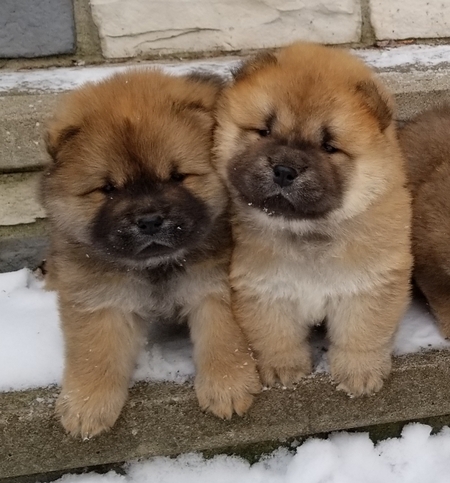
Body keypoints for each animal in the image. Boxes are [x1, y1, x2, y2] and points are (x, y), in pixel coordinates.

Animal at [43, 69, 260, 438]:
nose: (149, 221)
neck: (156, 267)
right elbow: (95, 352)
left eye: (177, 176)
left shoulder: (213, 287)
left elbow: (223, 338)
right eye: (108, 189)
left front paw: (228, 387)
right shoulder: (99, 298)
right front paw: (87, 407)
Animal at [213, 41, 414, 398]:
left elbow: (361, 333)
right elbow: (275, 333)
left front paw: (359, 376)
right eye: (264, 131)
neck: (307, 233)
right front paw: (284, 370)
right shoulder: (264, 286)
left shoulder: (368, 284)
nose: (284, 170)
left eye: (328, 147)